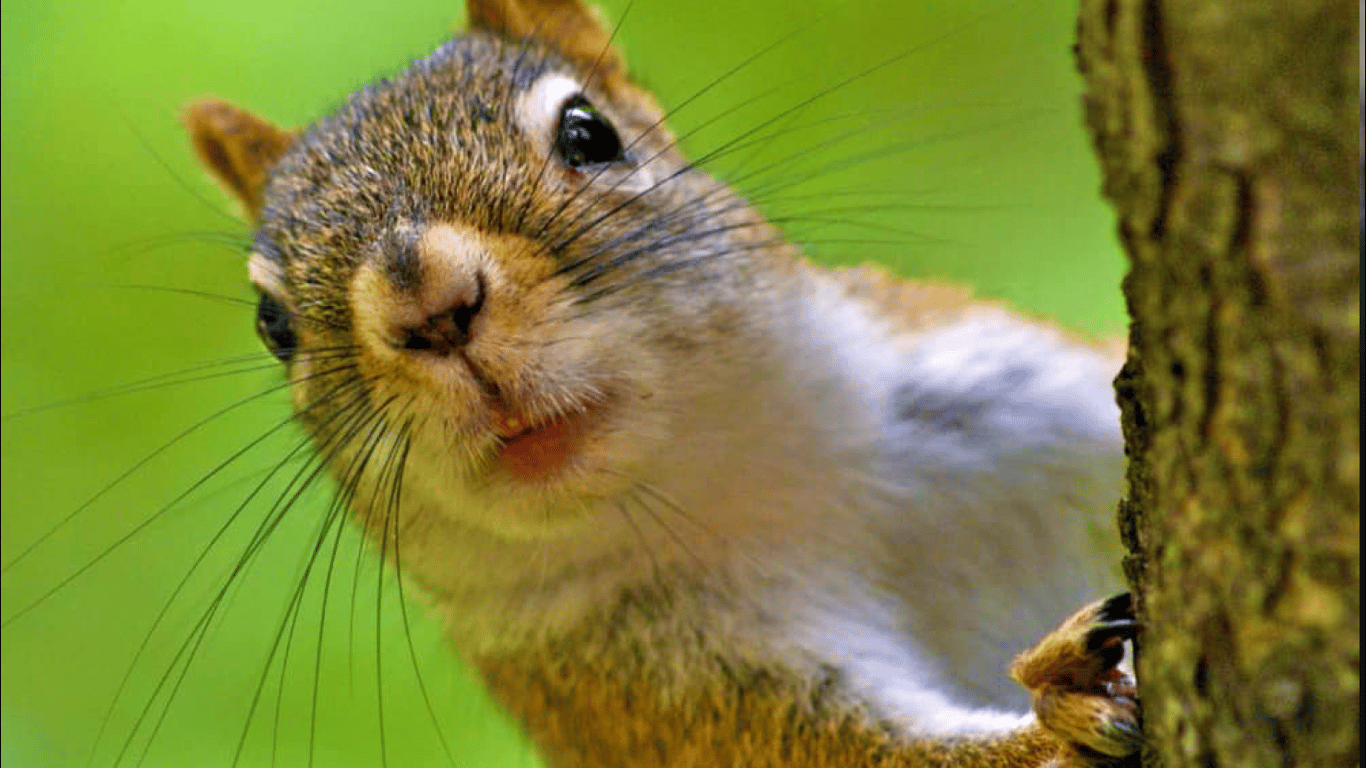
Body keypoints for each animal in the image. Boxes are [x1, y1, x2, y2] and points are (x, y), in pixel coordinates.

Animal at [181, 0, 1141, 759]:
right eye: (272, 324)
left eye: (587, 131)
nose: (430, 307)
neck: (746, 487)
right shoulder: (661, 693)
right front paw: (1060, 717)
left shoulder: (1016, 388)